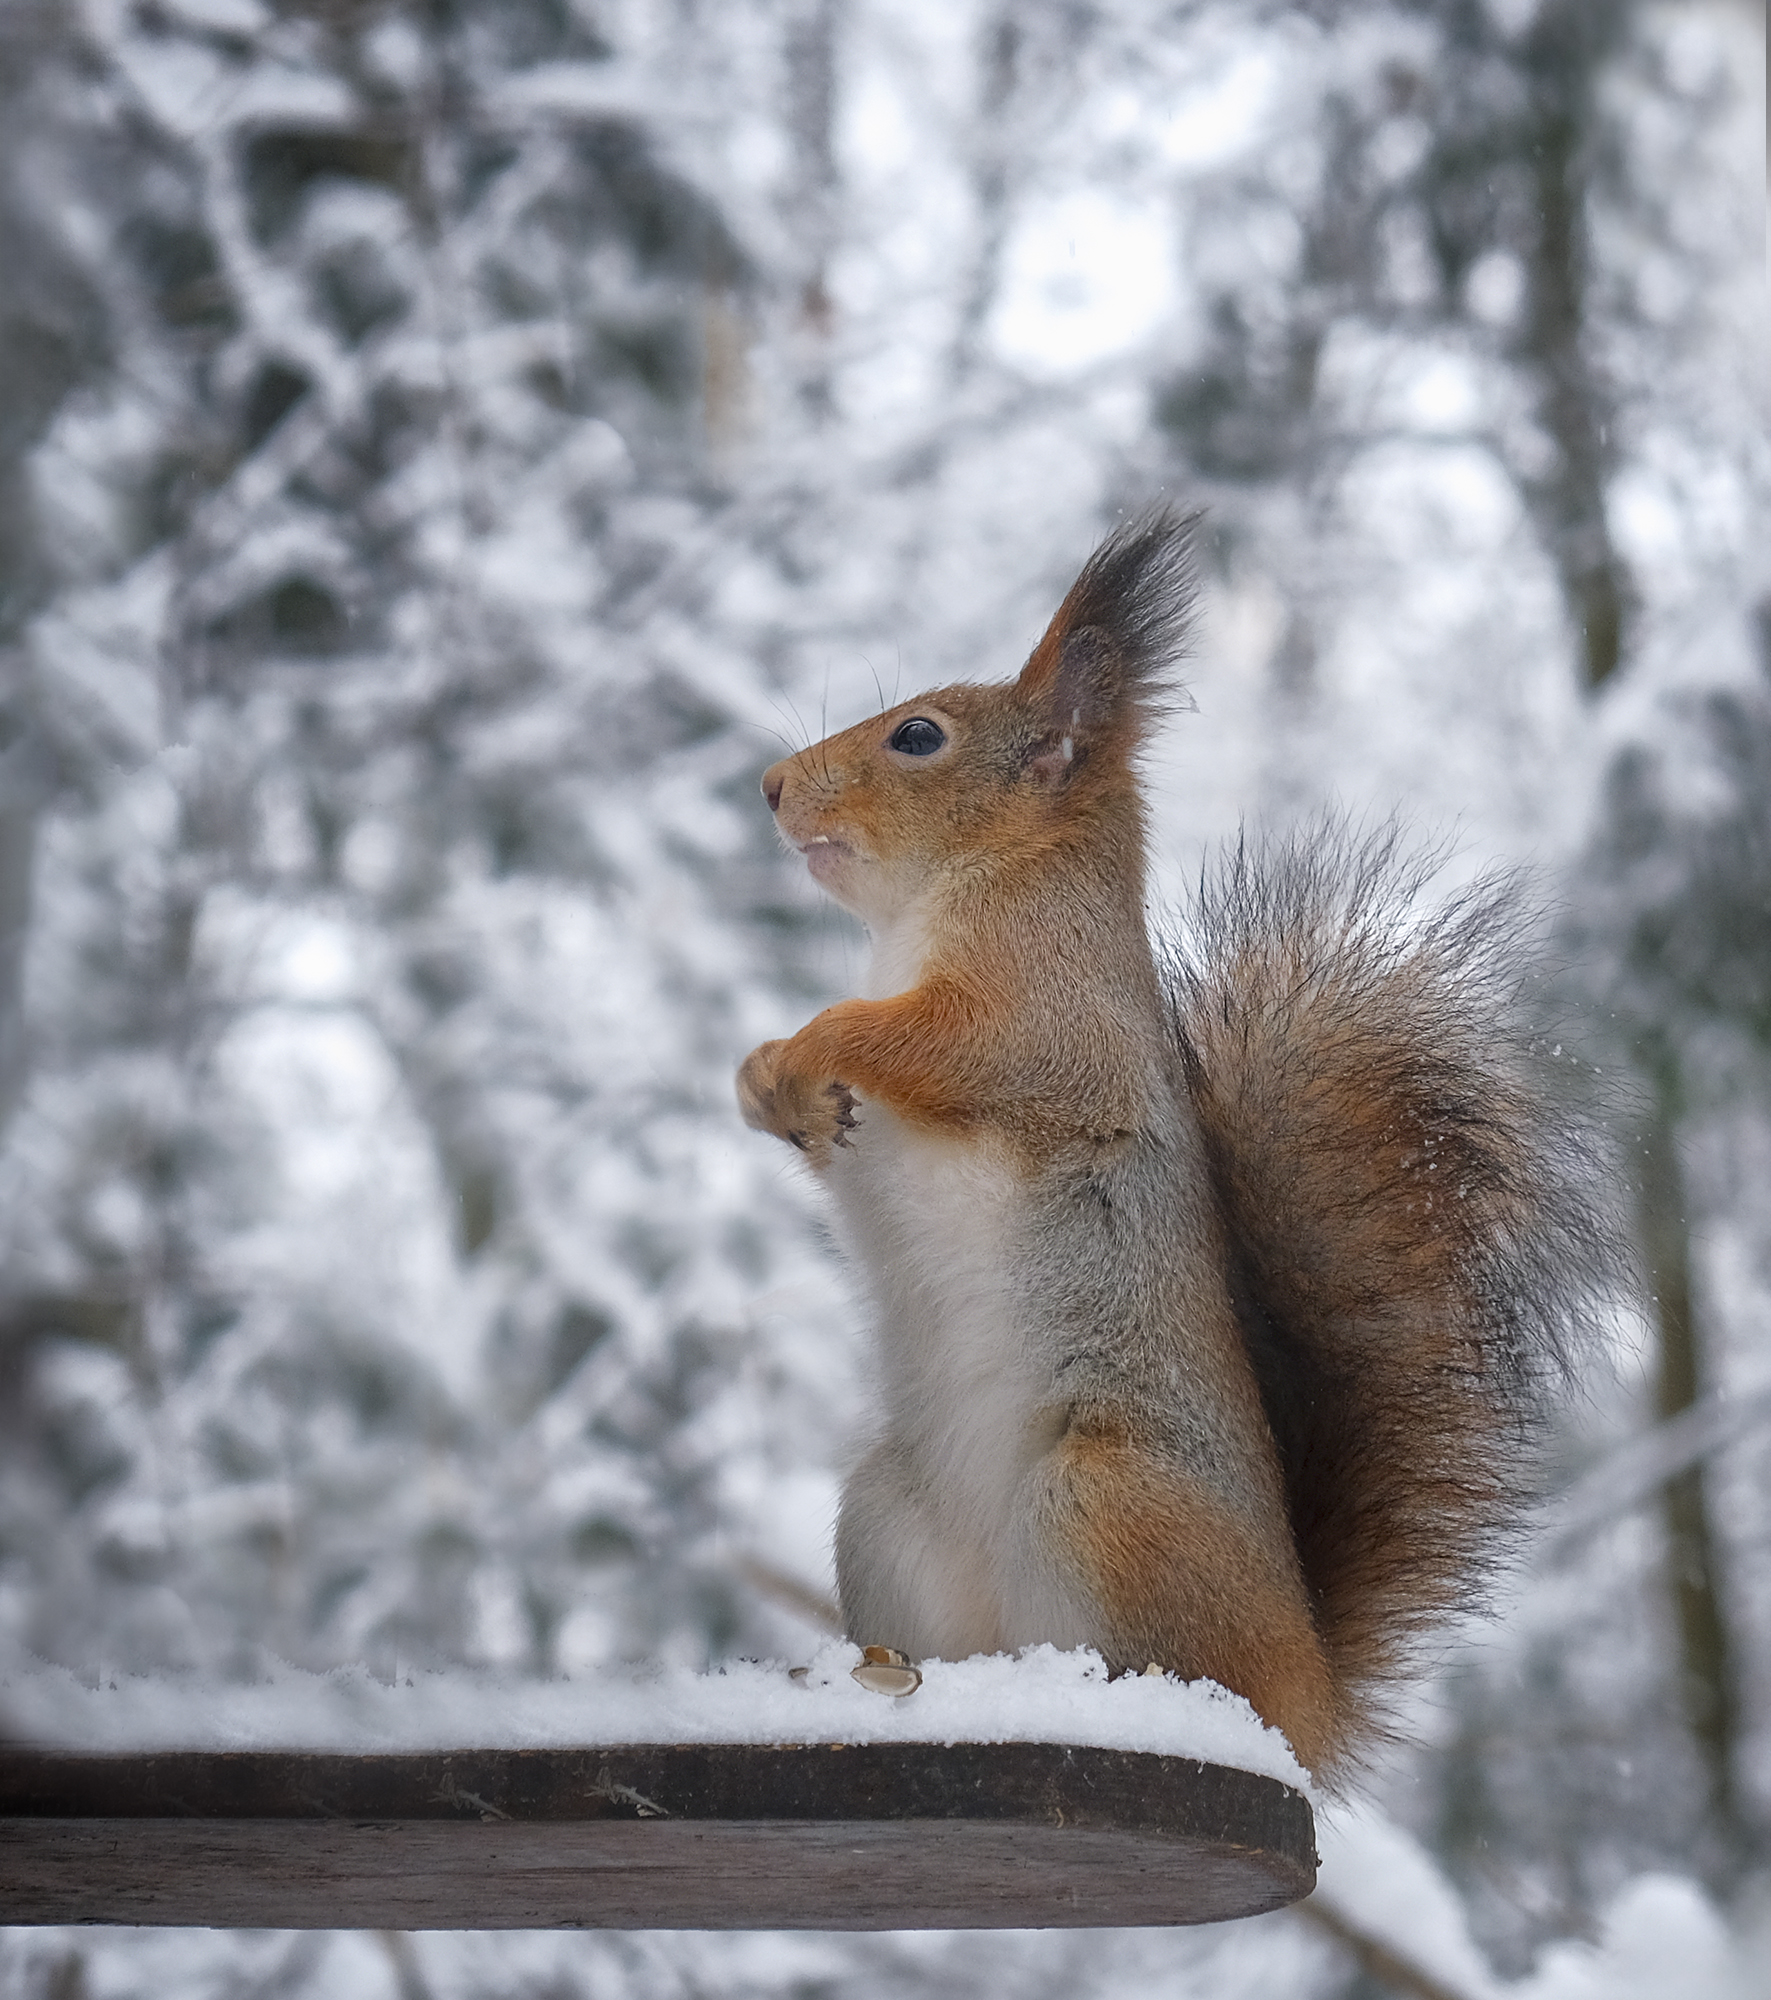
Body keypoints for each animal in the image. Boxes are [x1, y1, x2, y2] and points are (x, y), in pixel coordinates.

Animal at [735, 508, 1607, 1776]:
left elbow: (941, 1044)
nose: (769, 786)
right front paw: (769, 1083)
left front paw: (815, 1042)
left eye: (918, 735)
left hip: (1108, 1497)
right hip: (888, 1516)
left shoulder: (1047, 1019)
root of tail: (1305, 1701)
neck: (959, 896)